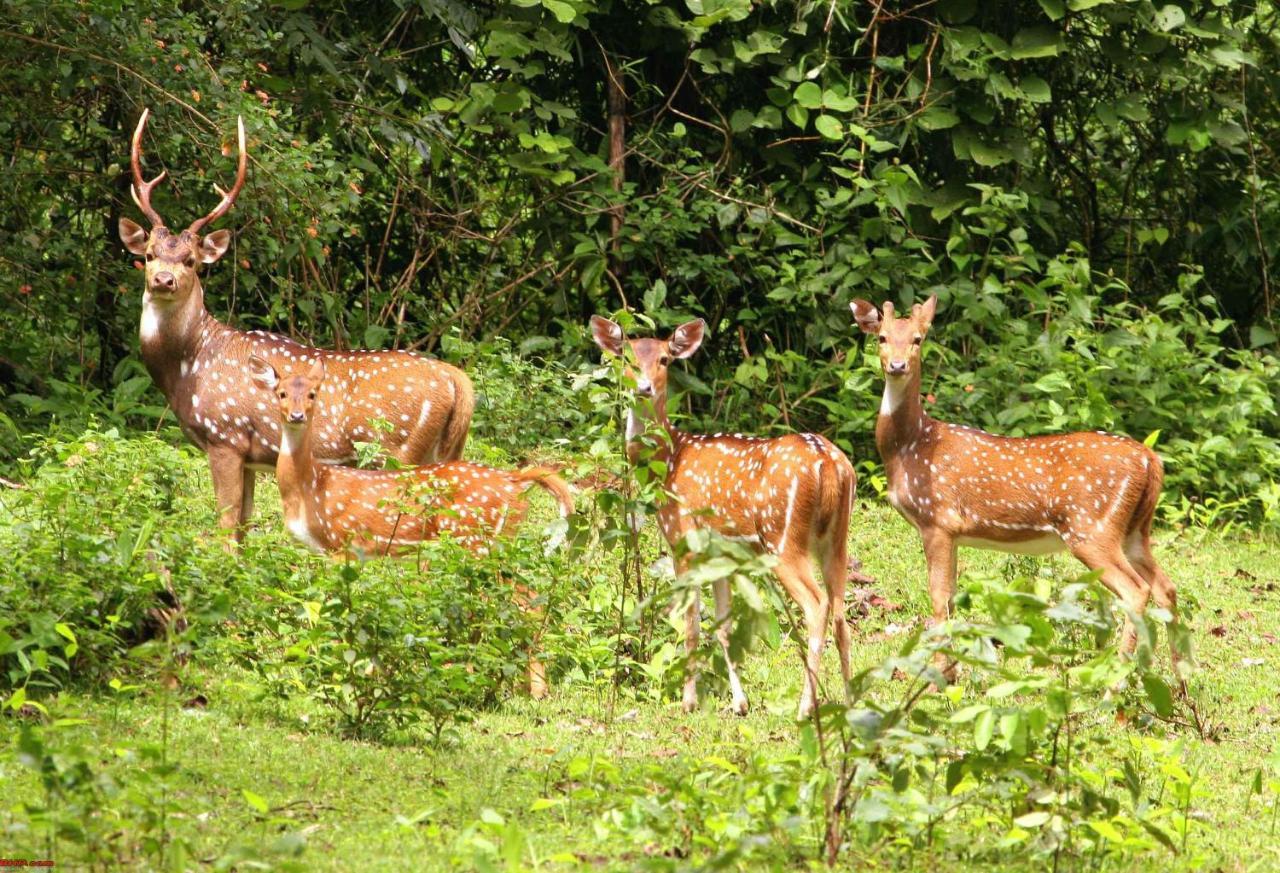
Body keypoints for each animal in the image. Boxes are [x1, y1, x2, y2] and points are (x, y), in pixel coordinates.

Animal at [116, 106, 471, 542]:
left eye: (191, 260)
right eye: (149, 254)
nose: (163, 280)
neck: (188, 367)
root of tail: (457, 381)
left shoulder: (225, 436)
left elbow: (225, 527)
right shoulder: (250, 456)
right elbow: (243, 527)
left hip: (399, 448)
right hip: (444, 449)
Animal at [254, 350, 576, 696]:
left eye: (313, 394)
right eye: (281, 393)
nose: (297, 415)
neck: (311, 487)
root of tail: (515, 481)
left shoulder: (342, 541)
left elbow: (338, 608)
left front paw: (342, 672)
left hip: (477, 542)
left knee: (517, 602)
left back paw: (527, 688)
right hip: (496, 543)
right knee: (528, 597)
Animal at [591, 312, 860, 711]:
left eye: (665, 359)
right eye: (626, 357)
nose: (643, 388)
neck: (667, 462)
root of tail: (829, 463)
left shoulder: (683, 540)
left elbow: (690, 625)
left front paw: (688, 701)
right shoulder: (720, 556)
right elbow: (723, 627)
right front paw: (739, 702)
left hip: (782, 538)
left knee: (817, 606)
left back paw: (805, 706)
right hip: (836, 539)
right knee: (842, 613)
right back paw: (851, 699)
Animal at [849, 295, 1177, 675]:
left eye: (918, 339)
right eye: (882, 338)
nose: (898, 365)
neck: (910, 446)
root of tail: (1151, 461)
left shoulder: (937, 520)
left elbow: (938, 599)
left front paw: (939, 676)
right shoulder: (952, 531)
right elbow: (950, 598)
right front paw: (952, 672)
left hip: (1091, 527)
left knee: (1136, 590)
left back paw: (1118, 675)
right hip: (1135, 530)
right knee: (1166, 587)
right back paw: (1179, 678)